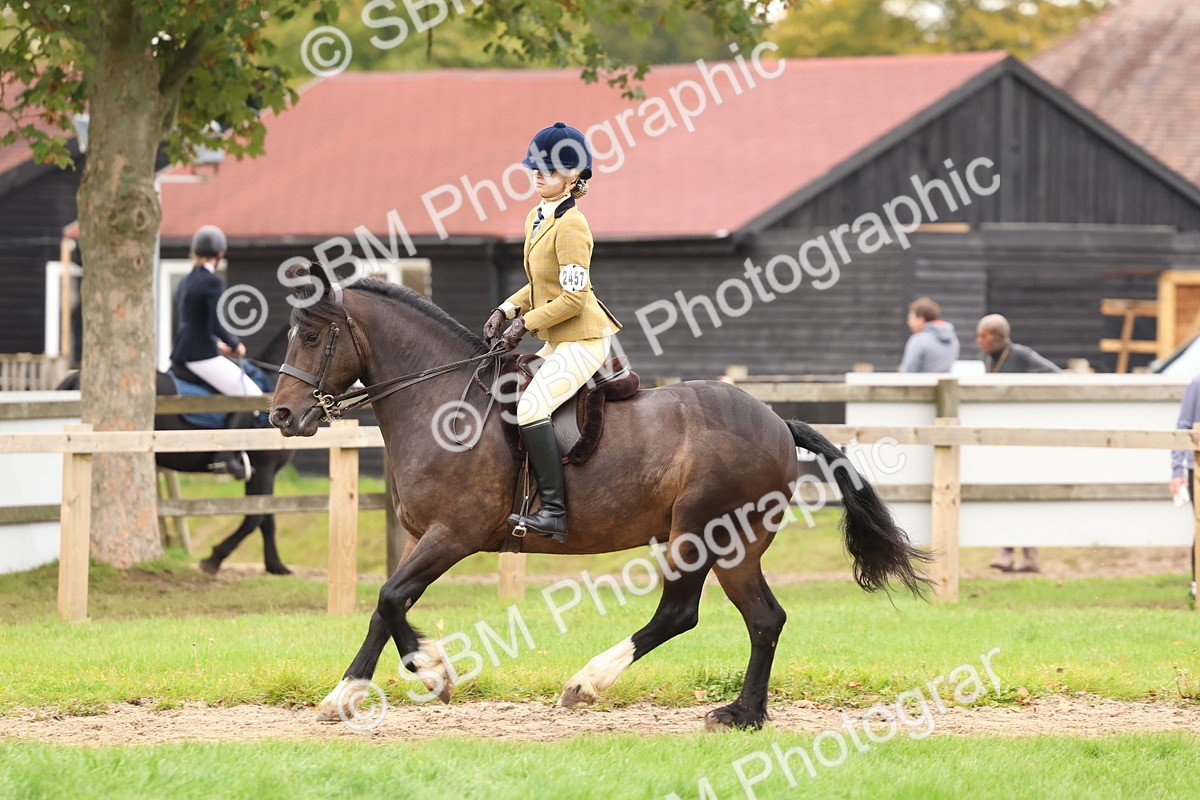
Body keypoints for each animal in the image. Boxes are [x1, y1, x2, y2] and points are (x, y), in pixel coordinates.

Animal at [58, 348, 295, 576]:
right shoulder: (263, 469)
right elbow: (255, 517)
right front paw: (213, 559)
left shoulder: (266, 472)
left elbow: (267, 519)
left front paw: (276, 565)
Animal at [269, 268, 930, 730]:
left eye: (311, 336)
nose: (282, 416)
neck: (443, 403)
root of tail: (774, 420)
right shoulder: (420, 536)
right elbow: (387, 607)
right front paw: (348, 694)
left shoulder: (453, 534)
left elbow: (390, 597)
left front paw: (432, 672)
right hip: (732, 547)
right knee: (764, 619)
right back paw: (745, 714)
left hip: (704, 535)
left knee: (683, 614)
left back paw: (590, 684)